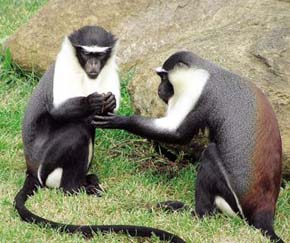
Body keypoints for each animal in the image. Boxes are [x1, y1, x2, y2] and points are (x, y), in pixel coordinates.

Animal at [14, 26, 185, 243]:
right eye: (87, 54)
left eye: (100, 55)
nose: (93, 64)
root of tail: (31, 168)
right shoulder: (65, 65)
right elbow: (57, 110)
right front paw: (91, 102)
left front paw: (109, 103)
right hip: (46, 163)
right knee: (77, 130)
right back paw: (74, 189)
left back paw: (90, 181)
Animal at [92, 50, 284, 241]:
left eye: (164, 78)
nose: (159, 89)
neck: (207, 69)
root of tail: (263, 215)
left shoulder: (196, 92)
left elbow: (178, 133)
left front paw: (120, 120)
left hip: (231, 199)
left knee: (209, 154)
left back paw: (197, 213)